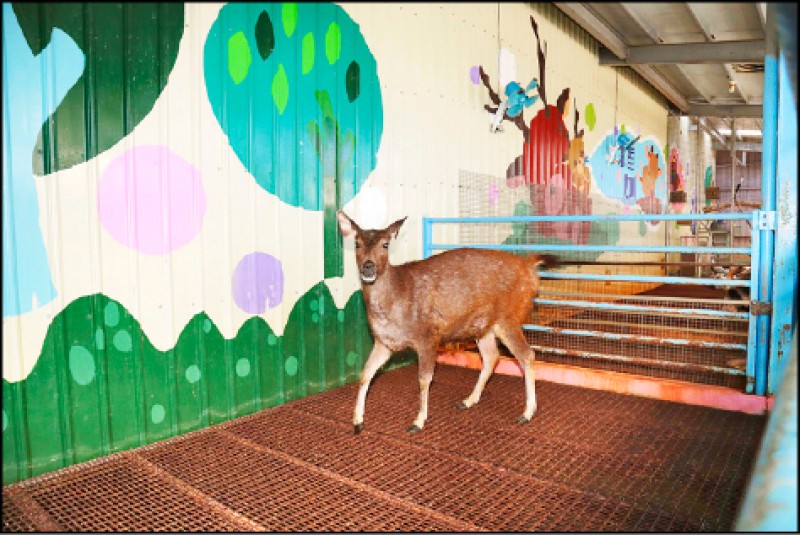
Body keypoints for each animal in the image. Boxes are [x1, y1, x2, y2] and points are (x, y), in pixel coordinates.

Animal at [338, 210, 556, 436]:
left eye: (385, 244)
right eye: (356, 243)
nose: (368, 266)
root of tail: (530, 267)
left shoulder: (428, 336)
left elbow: (424, 379)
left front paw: (418, 421)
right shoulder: (384, 342)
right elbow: (366, 373)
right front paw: (357, 421)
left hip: (510, 317)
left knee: (527, 355)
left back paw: (527, 413)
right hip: (483, 325)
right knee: (492, 356)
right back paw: (469, 400)